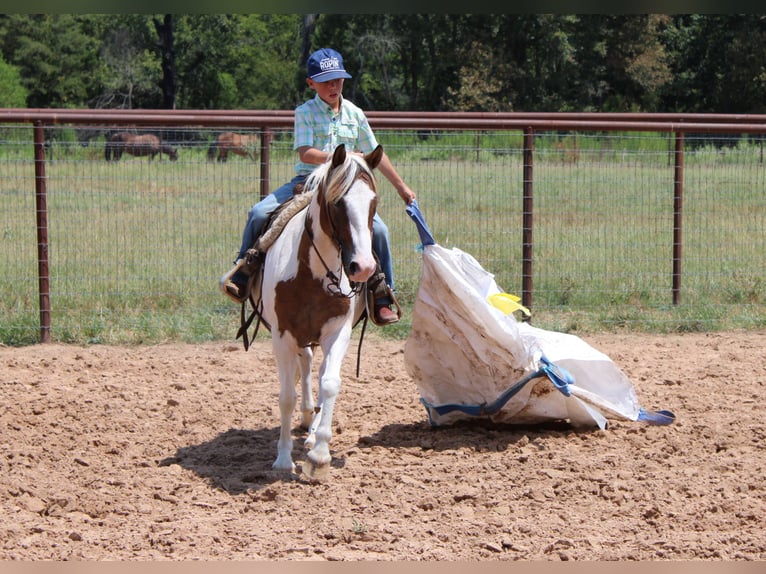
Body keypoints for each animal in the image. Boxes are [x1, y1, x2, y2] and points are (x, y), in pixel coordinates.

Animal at [256, 144, 383, 481]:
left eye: (374, 202)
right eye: (338, 202)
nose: (363, 267)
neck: (313, 273)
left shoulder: (338, 331)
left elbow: (330, 383)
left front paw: (320, 455)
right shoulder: (282, 335)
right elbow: (286, 396)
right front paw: (283, 459)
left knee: (320, 368)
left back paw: (312, 431)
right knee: (306, 363)